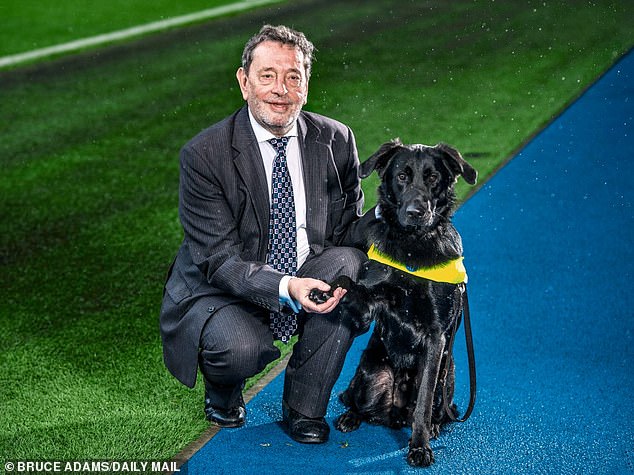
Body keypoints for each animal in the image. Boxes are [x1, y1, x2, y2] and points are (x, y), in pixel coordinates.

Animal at [308, 139, 476, 466]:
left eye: (433, 178)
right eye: (401, 176)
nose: (415, 212)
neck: (412, 246)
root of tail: (394, 413)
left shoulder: (436, 337)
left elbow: (423, 403)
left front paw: (420, 446)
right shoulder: (368, 304)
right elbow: (347, 281)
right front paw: (325, 291)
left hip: (446, 375)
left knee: (433, 406)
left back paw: (433, 426)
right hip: (371, 373)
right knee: (356, 400)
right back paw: (351, 416)